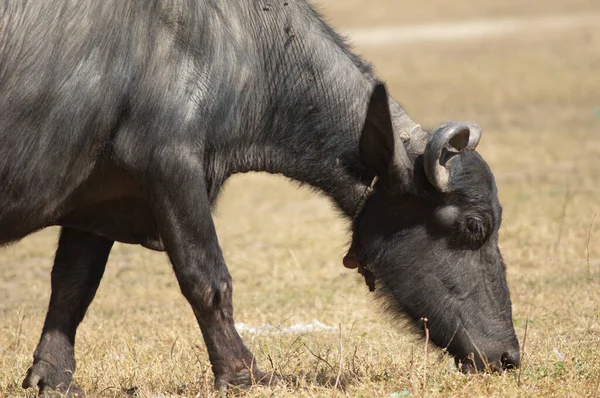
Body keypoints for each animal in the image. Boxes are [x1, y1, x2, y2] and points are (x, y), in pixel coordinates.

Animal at [0, 0, 516, 394]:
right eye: (474, 226)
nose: (508, 356)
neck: (238, 48)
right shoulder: (169, 168)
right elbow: (208, 279)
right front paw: (242, 373)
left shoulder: (97, 201)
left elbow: (73, 285)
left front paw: (52, 376)